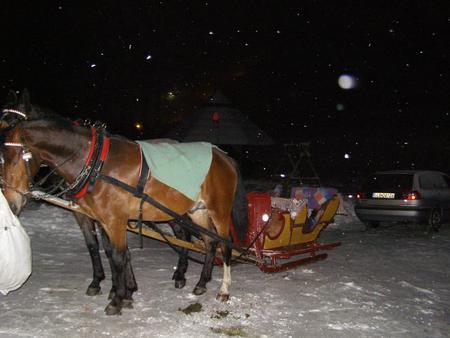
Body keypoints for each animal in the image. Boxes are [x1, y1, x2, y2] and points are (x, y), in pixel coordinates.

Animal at [0, 94, 248, 314]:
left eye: (11, 159)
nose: (11, 203)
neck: (94, 162)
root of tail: (224, 155)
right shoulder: (100, 218)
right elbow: (107, 250)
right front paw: (122, 291)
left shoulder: (114, 219)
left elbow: (119, 255)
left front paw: (118, 298)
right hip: (197, 210)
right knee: (209, 242)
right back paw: (201, 283)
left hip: (218, 210)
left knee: (224, 243)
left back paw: (223, 289)